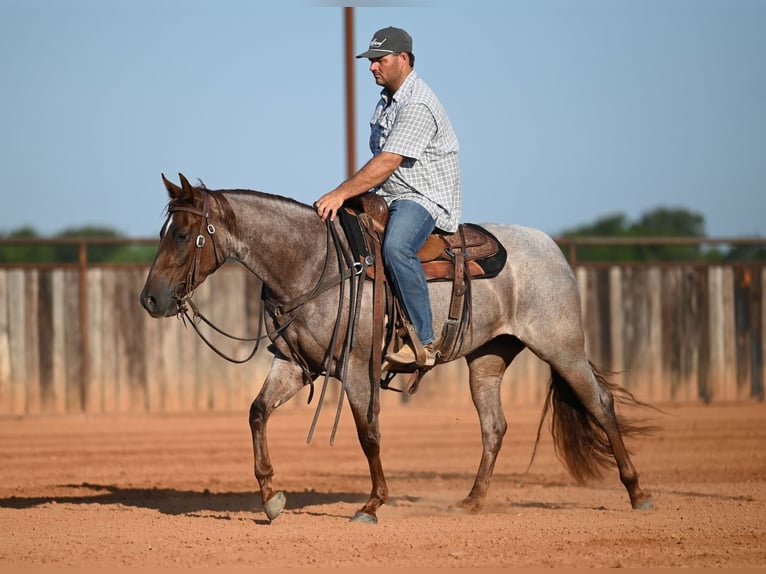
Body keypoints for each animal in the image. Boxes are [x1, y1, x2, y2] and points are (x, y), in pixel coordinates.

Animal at [140, 173, 655, 524]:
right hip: (488, 358)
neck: (312, 264)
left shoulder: (354, 367)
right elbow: (257, 412)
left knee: (600, 404)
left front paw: (371, 504)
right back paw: (471, 501)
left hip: (562, 346)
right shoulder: (295, 364)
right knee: (494, 426)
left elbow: (368, 432)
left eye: (183, 234)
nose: (150, 299)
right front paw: (270, 497)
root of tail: (552, 247)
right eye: (164, 232)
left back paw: (638, 493)